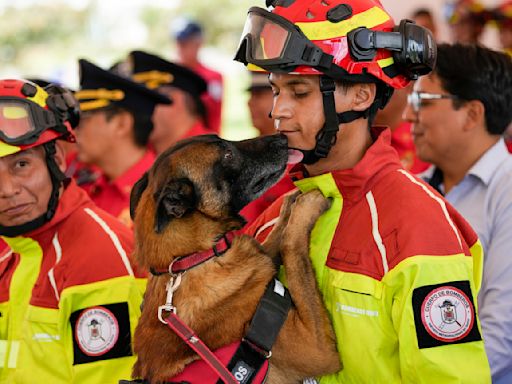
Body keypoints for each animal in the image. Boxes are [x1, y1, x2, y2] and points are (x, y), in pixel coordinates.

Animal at [130, 134, 342, 382]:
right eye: (228, 154)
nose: (282, 137)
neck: (194, 257)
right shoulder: (315, 346)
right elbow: (291, 242)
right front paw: (307, 204)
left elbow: (274, 236)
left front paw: (289, 202)